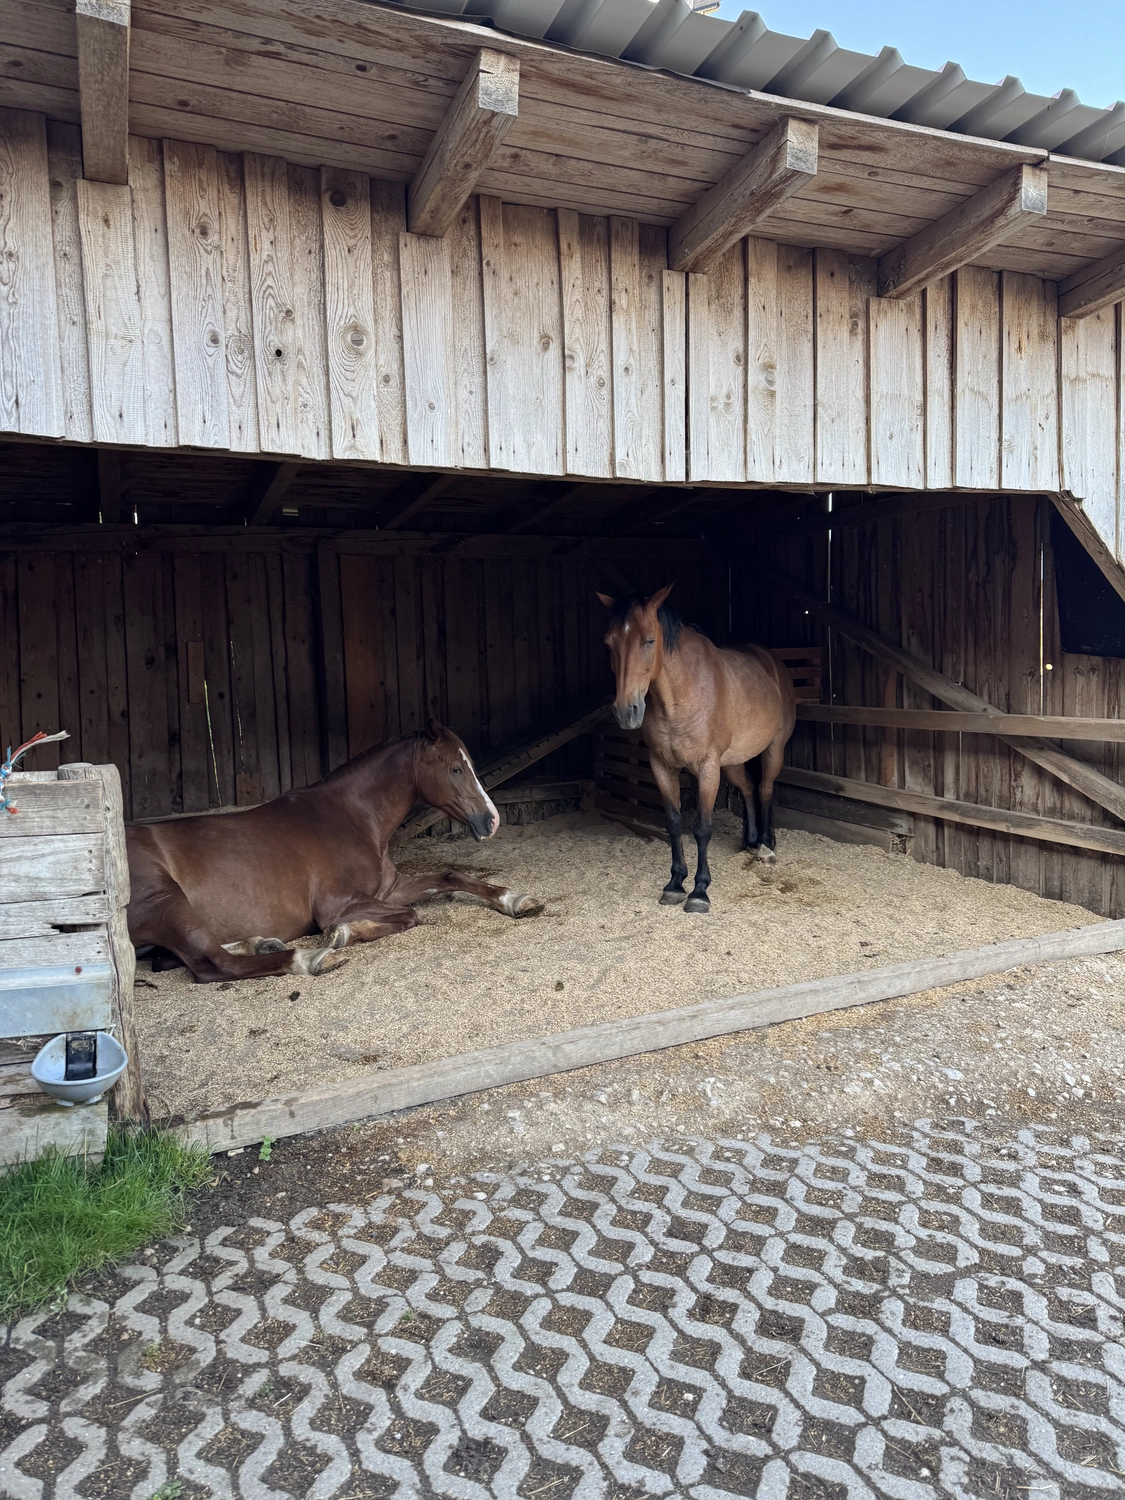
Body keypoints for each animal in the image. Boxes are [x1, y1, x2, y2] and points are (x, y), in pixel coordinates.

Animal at [126, 722, 542, 983]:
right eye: (456, 768)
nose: (491, 821)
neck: (351, 816)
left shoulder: (389, 889)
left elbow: (451, 876)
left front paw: (515, 899)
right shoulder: (335, 905)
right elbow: (408, 916)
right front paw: (344, 934)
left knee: (172, 958)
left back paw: (262, 943)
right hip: (169, 904)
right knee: (211, 963)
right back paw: (310, 957)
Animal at [598, 585, 796, 914]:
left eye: (649, 640)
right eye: (609, 644)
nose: (626, 712)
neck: (682, 694)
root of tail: (772, 661)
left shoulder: (707, 768)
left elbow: (702, 827)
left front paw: (700, 891)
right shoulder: (662, 766)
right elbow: (674, 822)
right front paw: (675, 884)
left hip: (773, 750)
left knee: (766, 788)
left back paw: (766, 847)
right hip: (733, 762)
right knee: (749, 789)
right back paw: (750, 841)